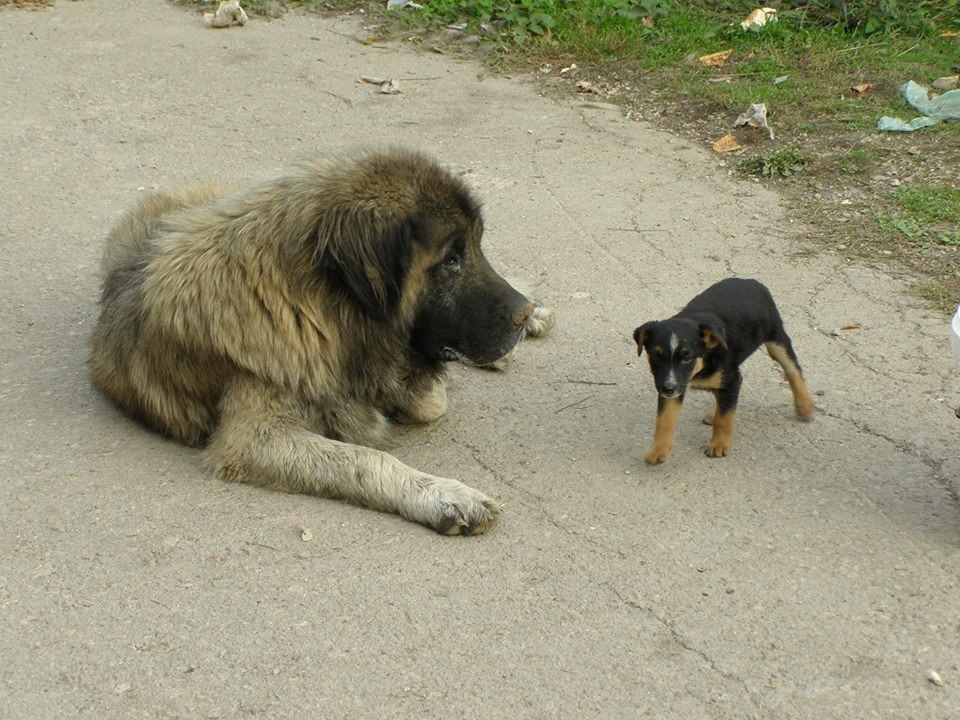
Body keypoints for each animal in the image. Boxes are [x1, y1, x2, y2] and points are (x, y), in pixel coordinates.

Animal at [92, 149, 556, 536]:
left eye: (476, 247)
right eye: (451, 260)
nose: (520, 315)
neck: (314, 307)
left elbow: (425, 399)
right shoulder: (253, 438)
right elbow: (368, 455)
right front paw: (444, 496)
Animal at [632, 278, 812, 464]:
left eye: (687, 358)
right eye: (656, 356)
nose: (668, 388)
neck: (705, 358)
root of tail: (750, 281)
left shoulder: (731, 380)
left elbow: (724, 420)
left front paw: (718, 445)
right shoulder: (675, 385)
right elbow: (664, 419)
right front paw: (658, 450)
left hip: (776, 338)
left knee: (793, 370)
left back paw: (805, 407)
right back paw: (714, 414)